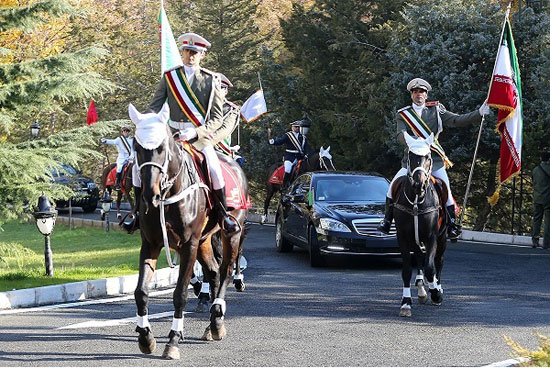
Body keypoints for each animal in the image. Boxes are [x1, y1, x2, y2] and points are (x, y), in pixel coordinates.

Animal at [128, 103, 249, 360]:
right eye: (136, 146)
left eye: (162, 147)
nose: (150, 195)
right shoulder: (150, 243)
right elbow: (140, 292)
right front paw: (145, 337)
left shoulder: (188, 245)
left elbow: (180, 294)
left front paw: (173, 341)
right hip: (204, 241)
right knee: (213, 272)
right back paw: (213, 323)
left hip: (231, 234)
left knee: (224, 271)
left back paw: (217, 320)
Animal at [392, 133, 448, 320]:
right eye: (410, 156)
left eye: (428, 157)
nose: (419, 184)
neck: (417, 200)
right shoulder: (403, 237)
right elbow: (407, 270)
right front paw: (406, 303)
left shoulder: (432, 237)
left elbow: (431, 267)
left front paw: (436, 294)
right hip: (415, 240)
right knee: (419, 259)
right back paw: (422, 289)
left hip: (442, 238)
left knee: (438, 261)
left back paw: (436, 288)